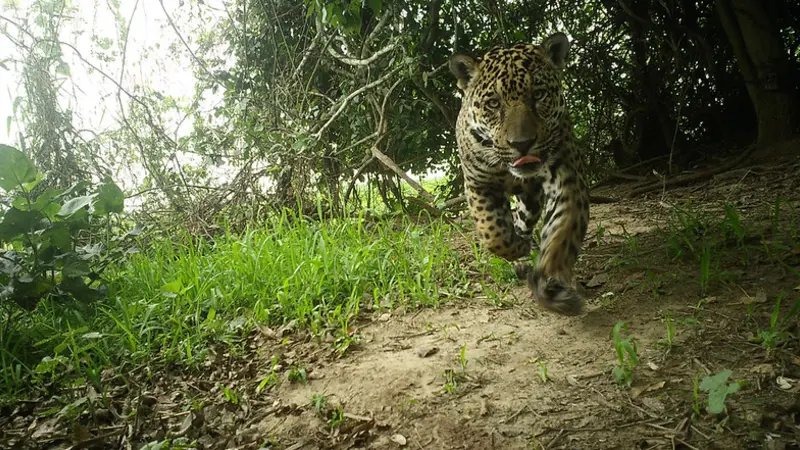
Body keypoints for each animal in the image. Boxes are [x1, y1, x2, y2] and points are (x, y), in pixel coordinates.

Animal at [448, 32, 590, 316]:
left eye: (538, 94)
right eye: (493, 103)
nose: (522, 144)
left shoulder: (567, 176)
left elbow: (562, 230)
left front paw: (551, 283)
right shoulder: (478, 183)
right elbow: (493, 233)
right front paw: (515, 249)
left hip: (531, 198)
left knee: (523, 219)